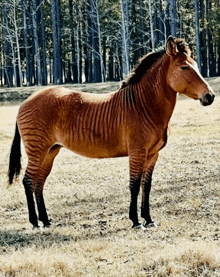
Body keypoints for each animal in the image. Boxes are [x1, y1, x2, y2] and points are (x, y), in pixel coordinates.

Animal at [8, 36, 215, 229]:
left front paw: (148, 219)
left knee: (39, 183)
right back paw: (35, 222)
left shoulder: (152, 154)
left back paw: (45, 220)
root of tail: (25, 103)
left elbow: (146, 186)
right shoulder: (137, 152)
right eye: (184, 68)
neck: (143, 106)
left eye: (196, 66)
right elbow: (134, 185)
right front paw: (136, 221)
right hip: (37, 151)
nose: (210, 96)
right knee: (28, 181)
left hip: (50, 151)